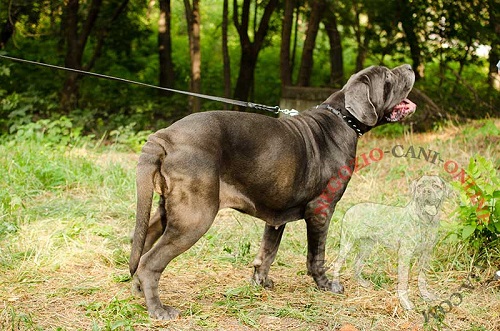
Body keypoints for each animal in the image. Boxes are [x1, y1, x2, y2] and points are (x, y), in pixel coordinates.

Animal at [128, 63, 414, 320]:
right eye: (388, 76)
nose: (410, 67)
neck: (342, 119)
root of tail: (164, 137)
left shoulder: (277, 213)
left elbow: (268, 251)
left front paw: (261, 282)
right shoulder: (321, 209)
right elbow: (316, 255)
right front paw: (326, 285)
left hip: (168, 210)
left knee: (142, 247)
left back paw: (139, 291)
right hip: (195, 216)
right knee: (150, 262)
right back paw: (159, 310)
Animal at [332, 176, 446, 312]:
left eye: (436, 186)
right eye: (420, 186)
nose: (426, 191)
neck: (426, 221)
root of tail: (350, 209)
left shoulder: (427, 253)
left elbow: (422, 278)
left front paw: (426, 295)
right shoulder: (405, 253)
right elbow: (403, 280)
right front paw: (405, 303)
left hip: (367, 246)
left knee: (357, 263)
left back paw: (362, 283)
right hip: (347, 243)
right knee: (337, 264)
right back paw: (335, 286)